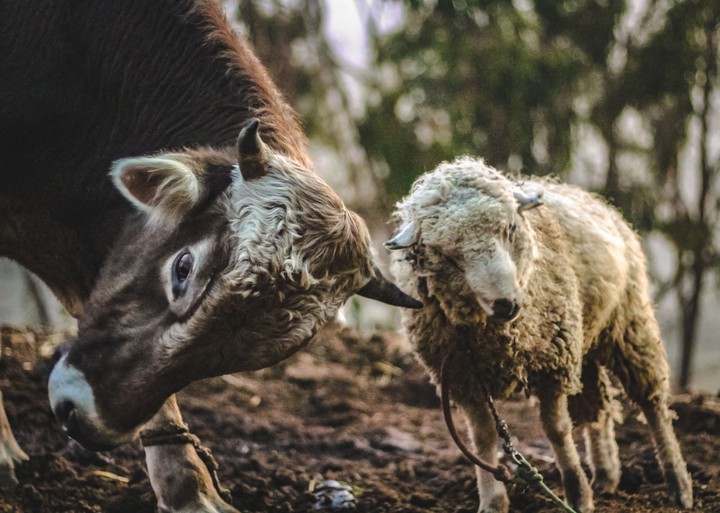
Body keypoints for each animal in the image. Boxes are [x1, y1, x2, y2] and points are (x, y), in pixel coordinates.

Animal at [387, 157, 693, 513]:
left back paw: (678, 484)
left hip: (628, 323)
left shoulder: (553, 365)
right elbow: (482, 439)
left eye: (510, 228)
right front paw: (493, 501)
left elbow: (556, 430)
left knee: (652, 403)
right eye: (448, 254)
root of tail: (596, 200)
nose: (506, 304)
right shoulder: (464, 379)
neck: (493, 334)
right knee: (597, 408)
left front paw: (577, 494)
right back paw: (606, 474)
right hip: (584, 337)